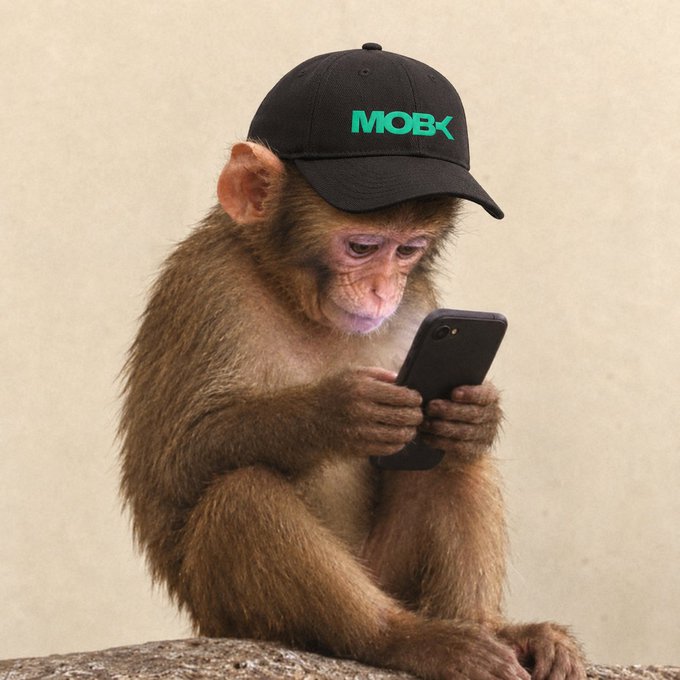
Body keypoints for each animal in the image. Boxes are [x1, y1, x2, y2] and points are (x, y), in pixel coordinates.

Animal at [120, 45, 586, 680]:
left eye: (409, 249)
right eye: (362, 247)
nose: (383, 292)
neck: (290, 291)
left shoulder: (422, 304)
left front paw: (479, 413)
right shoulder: (206, 285)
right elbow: (174, 463)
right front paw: (339, 411)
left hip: (390, 572)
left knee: (452, 457)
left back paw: (491, 626)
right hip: (230, 615)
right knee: (242, 493)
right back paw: (401, 639)